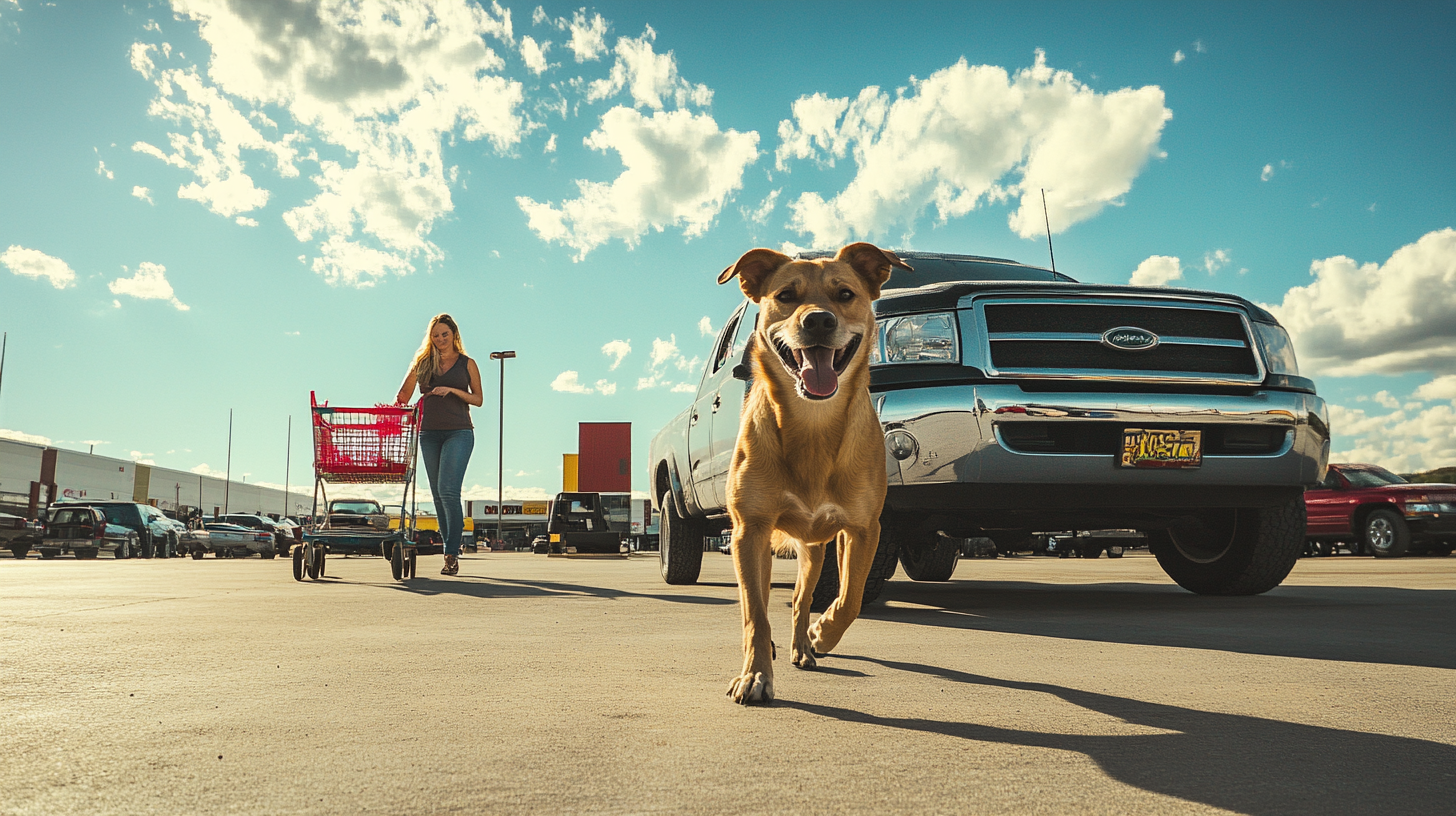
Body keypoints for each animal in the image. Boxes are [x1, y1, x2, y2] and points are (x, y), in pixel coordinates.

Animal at [716, 240, 908, 702]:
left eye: (845, 294)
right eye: (786, 295)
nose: (819, 320)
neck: (813, 424)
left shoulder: (863, 529)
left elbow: (851, 597)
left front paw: (823, 634)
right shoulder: (749, 530)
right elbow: (755, 612)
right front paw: (755, 674)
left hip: (815, 550)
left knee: (802, 602)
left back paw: (805, 643)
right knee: (765, 602)